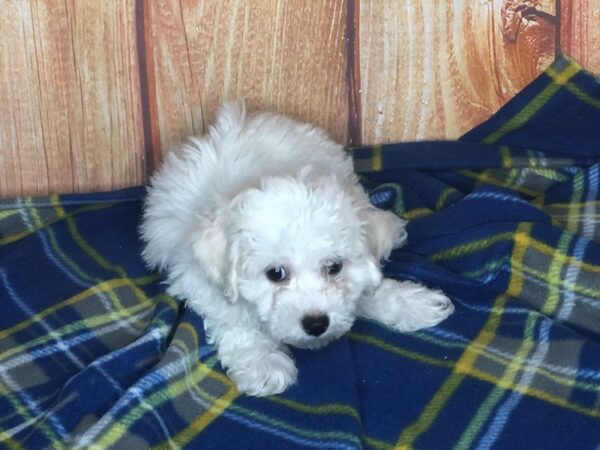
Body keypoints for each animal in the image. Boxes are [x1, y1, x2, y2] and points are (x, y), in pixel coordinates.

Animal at [139, 100, 450, 396]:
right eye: (275, 273)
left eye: (334, 267)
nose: (316, 324)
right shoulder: (196, 276)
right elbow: (234, 316)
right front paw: (262, 361)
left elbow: (365, 290)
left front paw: (411, 303)